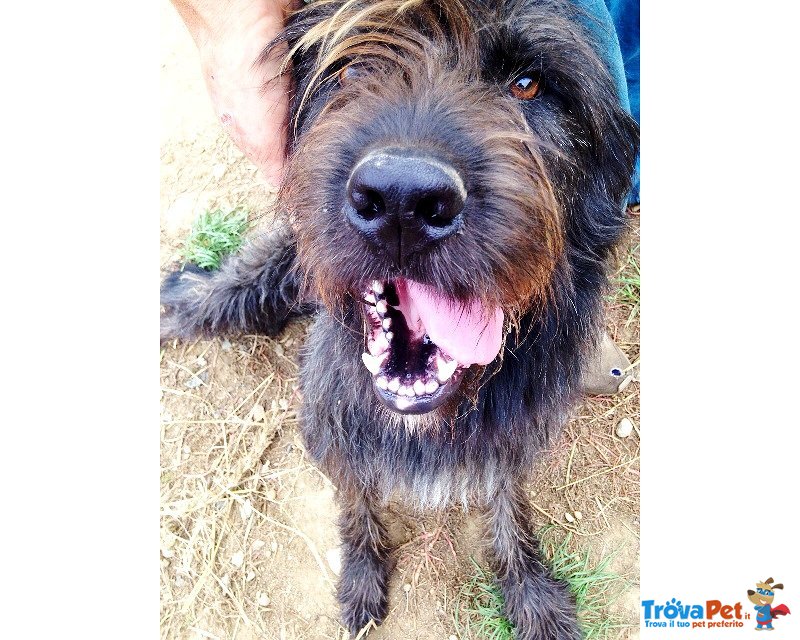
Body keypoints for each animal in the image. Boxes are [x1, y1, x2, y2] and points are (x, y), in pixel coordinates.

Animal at [161, 2, 636, 636]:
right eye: (349, 68)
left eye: (528, 84)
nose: (402, 201)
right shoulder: (332, 422)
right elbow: (356, 496)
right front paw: (361, 570)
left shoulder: (510, 436)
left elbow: (506, 503)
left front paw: (530, 591)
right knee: (245, 287)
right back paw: (182, 301)